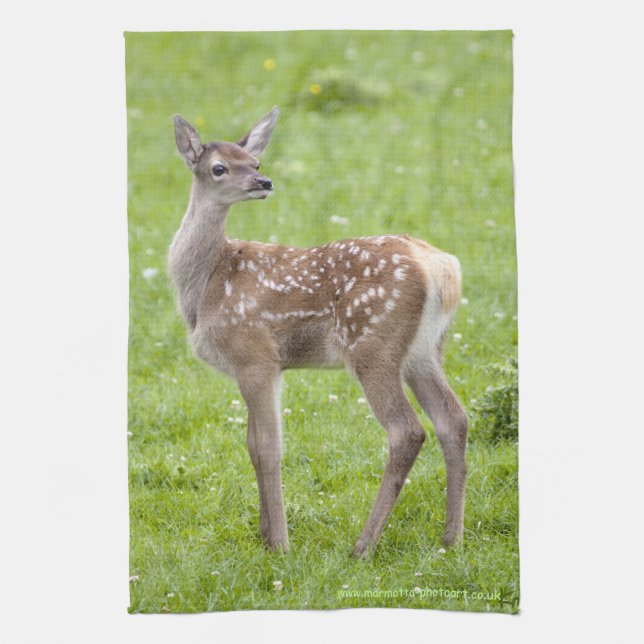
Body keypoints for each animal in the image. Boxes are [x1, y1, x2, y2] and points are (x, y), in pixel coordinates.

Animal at [169, 107, 468, 557]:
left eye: (255, 162)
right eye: (220, 167)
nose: (264, 182)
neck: (205, 286)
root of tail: (442, 267)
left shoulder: (254, 353)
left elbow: (268, 449)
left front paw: (279, 545)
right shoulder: (265, 366)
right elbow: (252, 446)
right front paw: (263, 536)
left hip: (372, 342)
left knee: (407, 430)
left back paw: (363, 546)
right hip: (425, 350)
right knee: (454, 419)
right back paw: (451, 539)